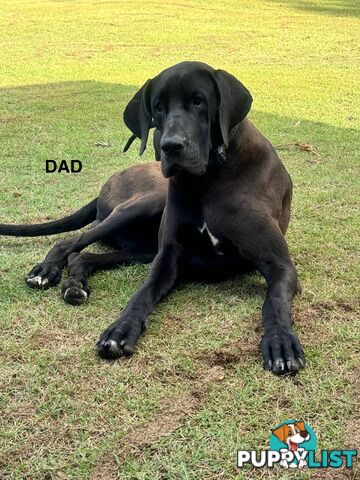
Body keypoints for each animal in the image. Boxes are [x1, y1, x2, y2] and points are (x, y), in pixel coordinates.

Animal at [0, 61, 306, 376]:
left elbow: (274, 302)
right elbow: (143, 293)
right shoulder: (168, 258)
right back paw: (47, 271)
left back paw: (75, 285)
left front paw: (281, 342)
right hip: (142, 206)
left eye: (199, 101)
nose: (170, 146)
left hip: (143, 246)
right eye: (158, 107)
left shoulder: (280, 265)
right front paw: (120, 329)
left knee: (83, 256)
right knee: (71, 242)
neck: (208, 178)